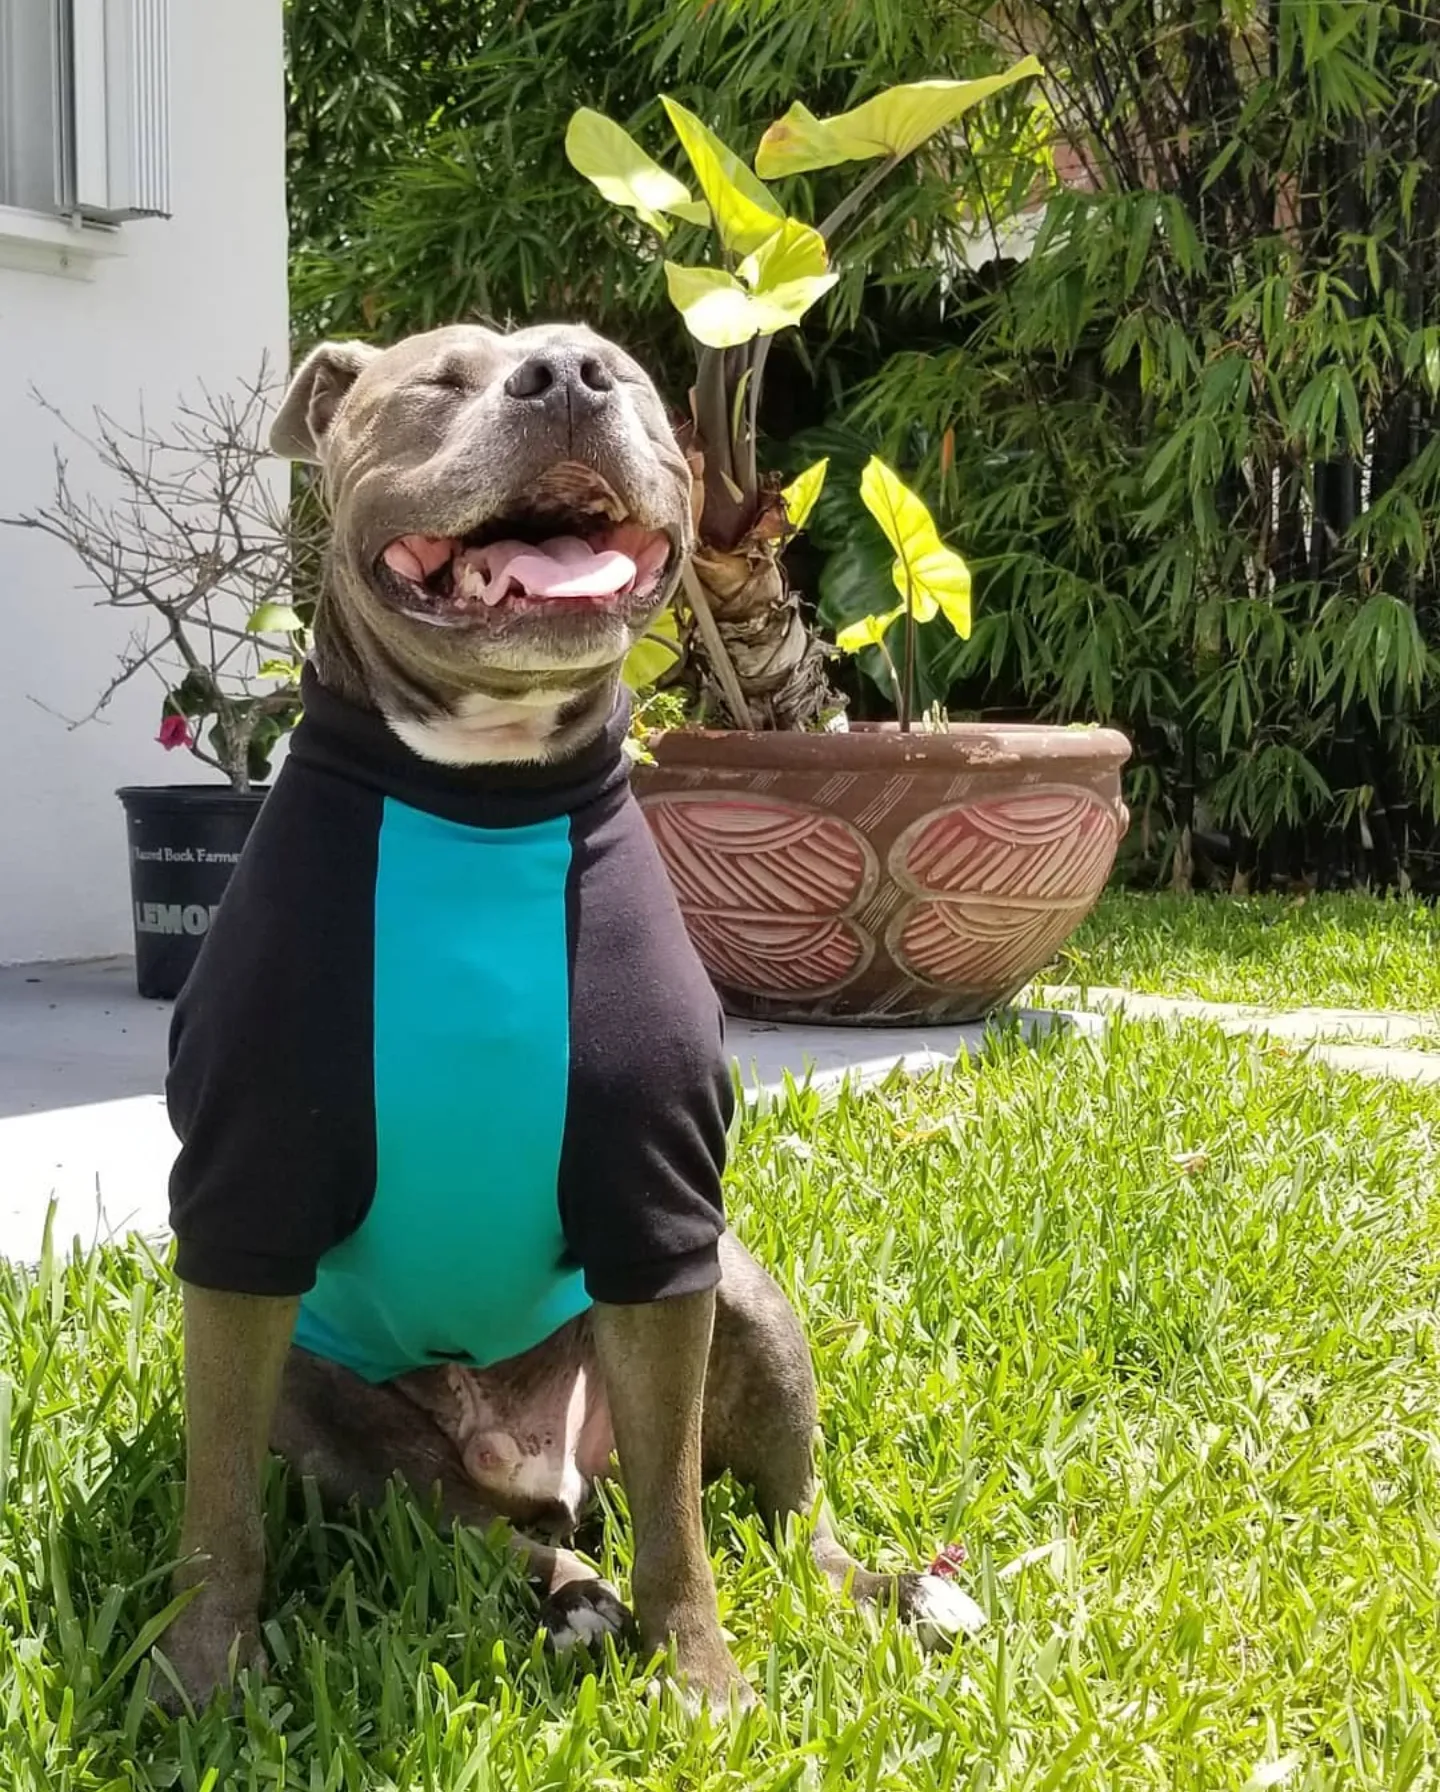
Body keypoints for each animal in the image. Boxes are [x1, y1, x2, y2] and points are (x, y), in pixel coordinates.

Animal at [160, 322, 988, 1705]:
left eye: (626, 375)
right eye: (442, 379)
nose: (562, 378)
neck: (484, 793)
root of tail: (530, 1460)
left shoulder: (657, 1214)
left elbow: (681, 1521)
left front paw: (701, 1677)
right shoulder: (241, 1215)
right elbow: (217, 1509)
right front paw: (198, 1677)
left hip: (743, 1293)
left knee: (781, 1518)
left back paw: (885, 1590)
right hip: (333, 1418)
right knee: (468, 1531)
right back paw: (567, 1597)